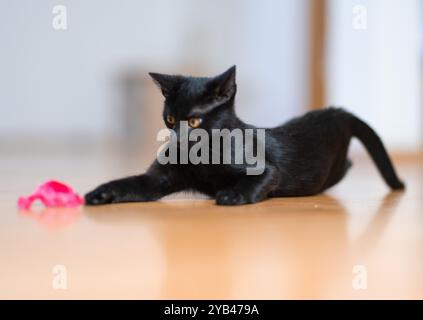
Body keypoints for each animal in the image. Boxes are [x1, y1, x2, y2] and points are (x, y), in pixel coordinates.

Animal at [84, 65, 406, 206]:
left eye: (195, 121)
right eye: (171, 119)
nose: (177, 140)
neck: (202, 158)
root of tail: (335, 111)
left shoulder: (266, 170)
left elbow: (259, 178)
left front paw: (234, 194)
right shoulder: (157, 180)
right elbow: (131, 183)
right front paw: (102, 192)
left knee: (347, 166)